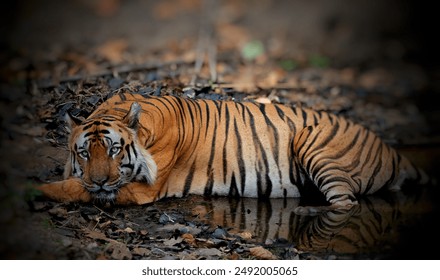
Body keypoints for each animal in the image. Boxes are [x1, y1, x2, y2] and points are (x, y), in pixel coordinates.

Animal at [37, 93, 430, 213]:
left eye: (116, 150)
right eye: (84, 153)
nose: (101, 182)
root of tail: (393, 151)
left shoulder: (141, 187)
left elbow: (73, 189)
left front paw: (36, 191)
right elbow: (76, 184)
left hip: (314, 144)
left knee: (346, 203)